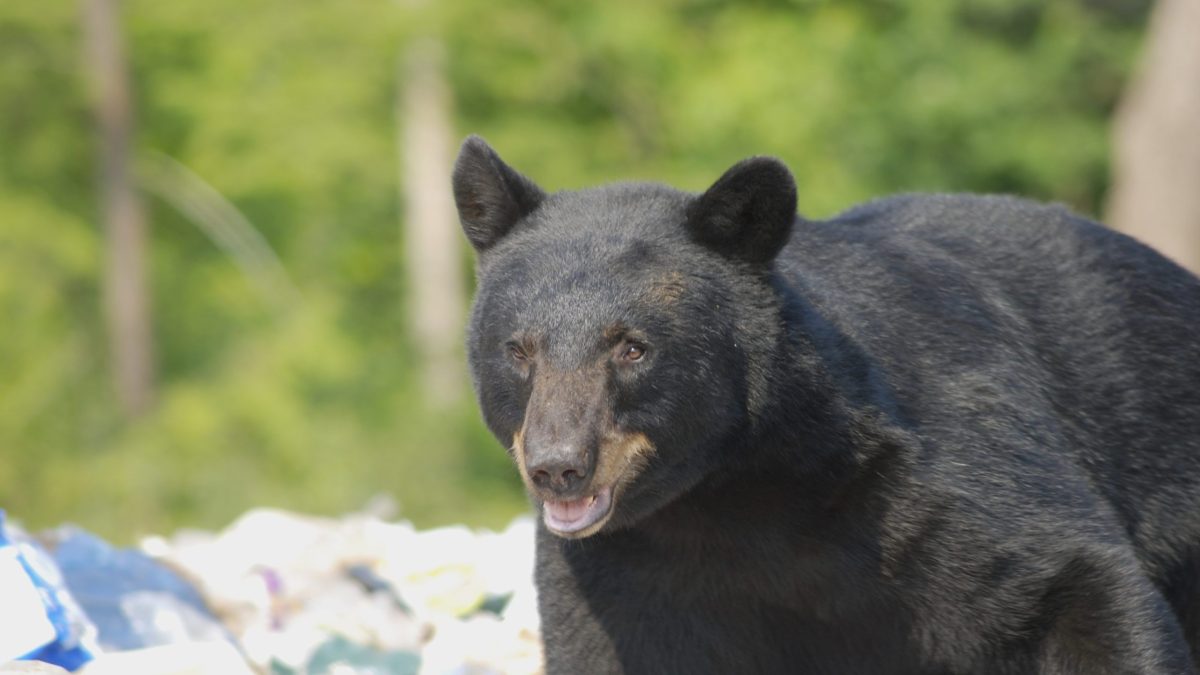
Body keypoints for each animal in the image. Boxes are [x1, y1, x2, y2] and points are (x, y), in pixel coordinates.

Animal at [451, 135, 1200, 675]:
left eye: (632, 347)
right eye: (518, 349)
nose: (559, 466)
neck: (734, 494)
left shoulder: (945, 471)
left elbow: (1074, 581)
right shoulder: (620, 573)